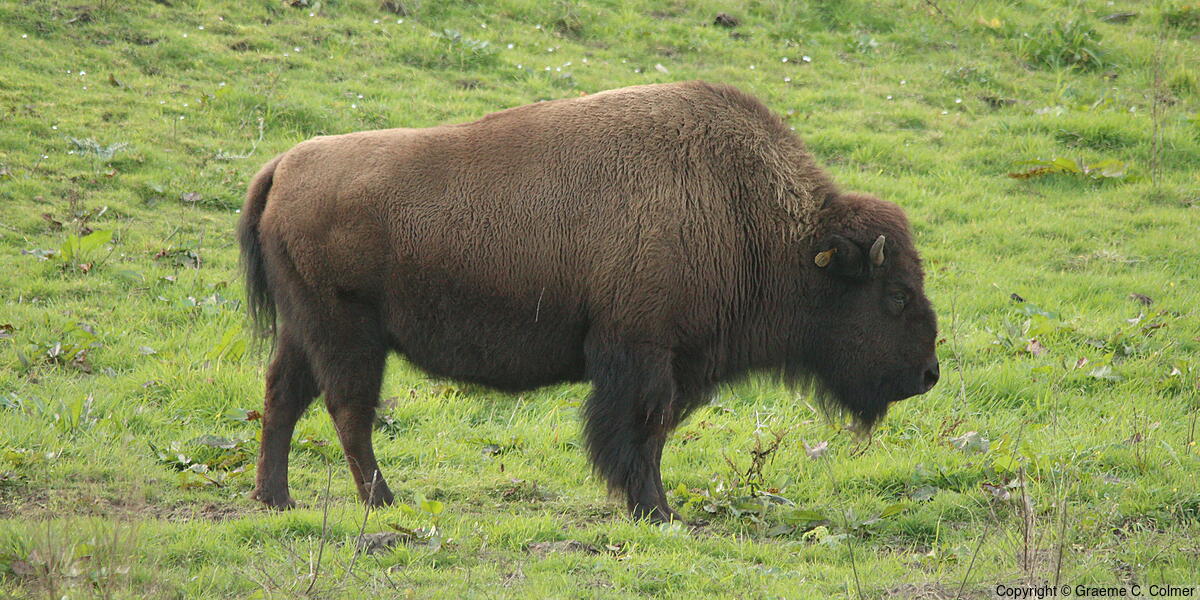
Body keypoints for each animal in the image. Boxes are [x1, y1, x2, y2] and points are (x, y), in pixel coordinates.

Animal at [238, 81, 939, 522]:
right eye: (897, 295)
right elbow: (641, 432)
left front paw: (651, 508)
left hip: (305, 331)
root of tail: (283, 166)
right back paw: (382, 502)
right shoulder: (642, 355)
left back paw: (277, 500)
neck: (748, 216)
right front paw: (658, 512)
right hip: (348, 333)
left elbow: (650, 436)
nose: (929, 374)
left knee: (283, 397)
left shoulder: (670, 362)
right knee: (349, 410)